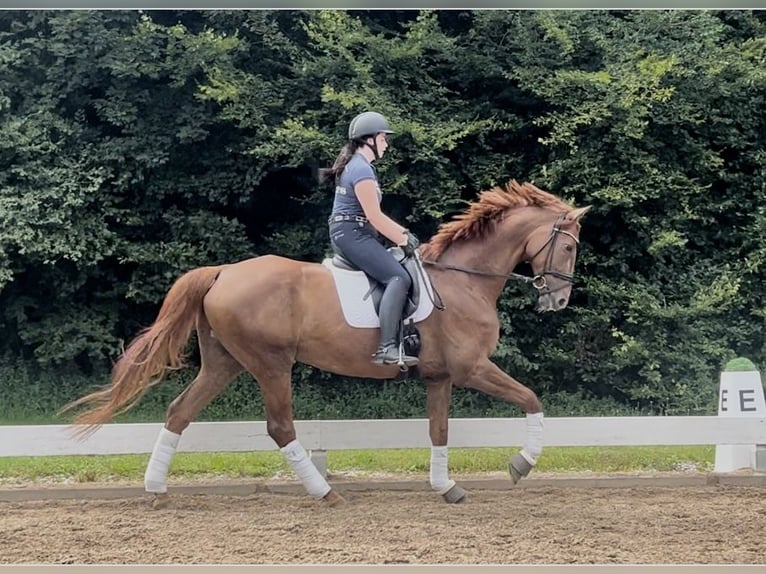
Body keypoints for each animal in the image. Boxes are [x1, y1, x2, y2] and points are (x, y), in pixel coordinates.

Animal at [63, 180, 592, 508]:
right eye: (568, 245)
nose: (559, 299)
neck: (466, 281)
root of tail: (224, 272)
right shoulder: (471, 368)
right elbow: (531, 399)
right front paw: (520, 465)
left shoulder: (439, 376)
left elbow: (439, 431)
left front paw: (447, 487)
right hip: (271, 364)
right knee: (279, 427)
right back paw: (324, 493)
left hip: (224, 363)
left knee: (179, 412)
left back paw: (155, 490)